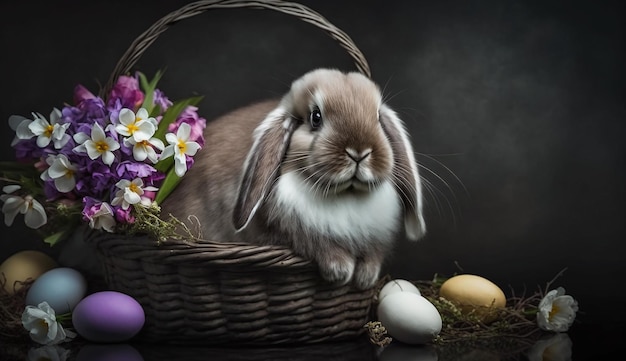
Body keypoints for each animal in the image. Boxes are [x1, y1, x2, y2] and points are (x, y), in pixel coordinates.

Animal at [158, 67, 426, 288]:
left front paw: (366, 276)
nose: (359, 152)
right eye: (315, 117)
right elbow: (321, 246)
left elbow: (373, 253)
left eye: (378, 117)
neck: (344, 196)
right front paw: (341, 270)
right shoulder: (288, 234)